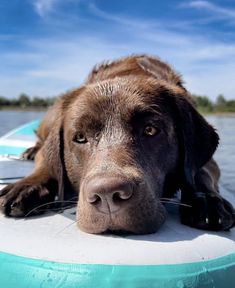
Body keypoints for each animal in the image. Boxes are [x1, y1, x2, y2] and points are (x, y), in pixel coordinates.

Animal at [0, 55, 235, 234]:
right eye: (80, 137)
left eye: (150, 130)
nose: (107, 196)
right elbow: (46, 165)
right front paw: (26, 186)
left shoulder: (209, 162)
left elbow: (201, 172)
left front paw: (207, 200)